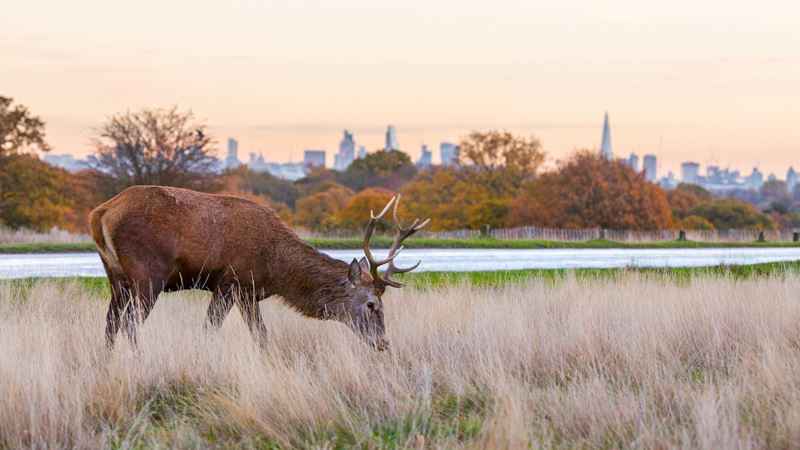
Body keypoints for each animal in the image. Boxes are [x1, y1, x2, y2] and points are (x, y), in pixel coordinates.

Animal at [88, 185, 428, 351]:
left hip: (115, 277)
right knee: (130, 324)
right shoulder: (231, 281)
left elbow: (261, 336)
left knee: (110, 323)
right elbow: (209, 329)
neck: (276, 268)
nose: (383, 343)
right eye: (372, 304)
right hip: (148, 274)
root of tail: (101, 212)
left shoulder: (248, 293)